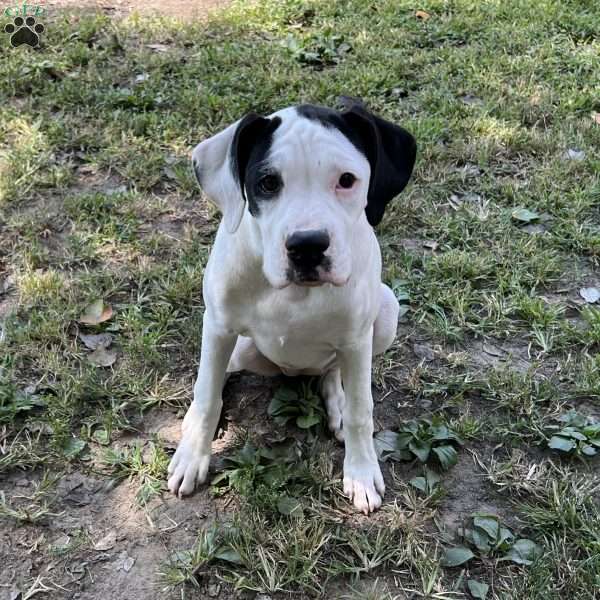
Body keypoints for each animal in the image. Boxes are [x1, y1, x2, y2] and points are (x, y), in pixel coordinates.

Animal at [166, 104, 414, 516]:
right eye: (267, 183)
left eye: (347, 180)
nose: (308, 247)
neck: (296, 293)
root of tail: (293, 370)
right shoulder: (218, 326)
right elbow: (207, 393)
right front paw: (192, 456)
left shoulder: (356, 340)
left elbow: (362, 411)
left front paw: (361, 472)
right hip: (239, 346)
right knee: (215, 379)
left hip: (386, 311)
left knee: (332, 372)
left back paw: (337, 402)